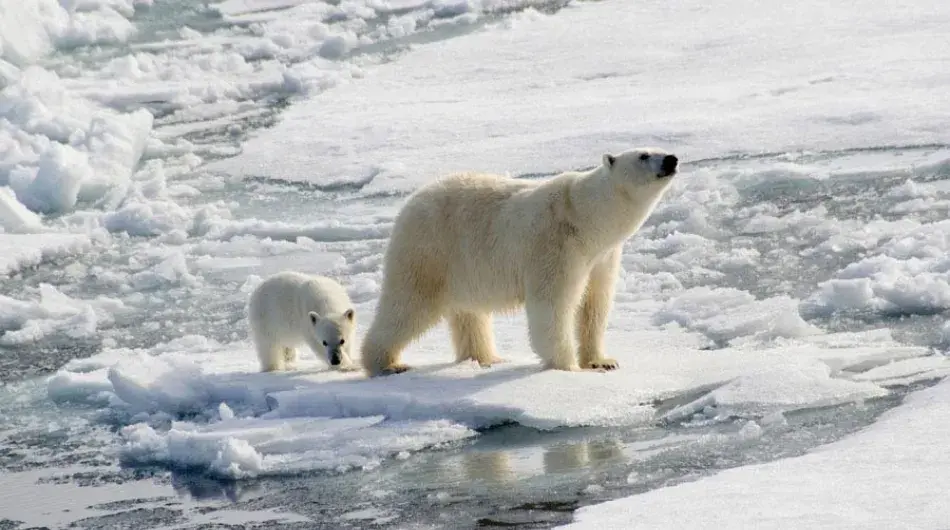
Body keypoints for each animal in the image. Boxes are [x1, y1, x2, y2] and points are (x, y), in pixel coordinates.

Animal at [360, 147, 679, 377]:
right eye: (644, 155)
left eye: (657, 147)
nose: (672, 159)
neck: (585, 218)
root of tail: (409, 203)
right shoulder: (556, 247)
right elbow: (552, 305)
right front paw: (567, 367)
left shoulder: (603, 256)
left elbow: (595, 305)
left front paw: (602, 361)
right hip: (429, 251)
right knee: (408, 304)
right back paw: (387, 363)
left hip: (461, 265)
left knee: (469, 313)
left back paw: (486, 357)